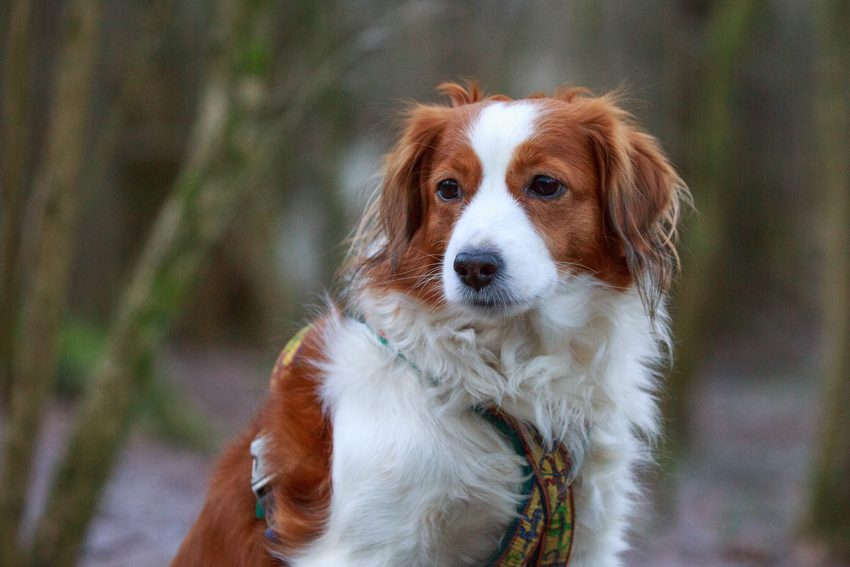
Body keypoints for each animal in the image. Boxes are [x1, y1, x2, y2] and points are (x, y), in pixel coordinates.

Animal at [169, 82, 684, 567]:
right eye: (448, 188)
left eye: (545, 184)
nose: (473, 266)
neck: (508, 368)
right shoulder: (363, 547)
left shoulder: (588, 540)